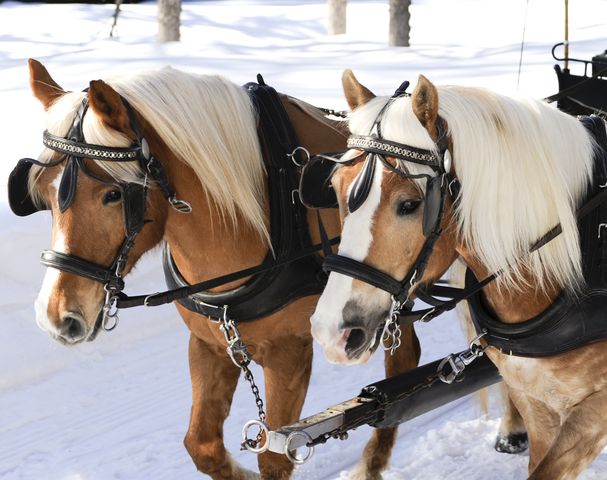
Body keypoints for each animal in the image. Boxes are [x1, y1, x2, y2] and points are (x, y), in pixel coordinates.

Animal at [10, 60, 428, 480]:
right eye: (42, 193)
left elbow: (274, 458)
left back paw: (373, 461)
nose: (55, 317)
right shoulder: (209, 342)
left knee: (403, 360)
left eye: (113, 195)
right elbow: (201, 445)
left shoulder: (289, 351)